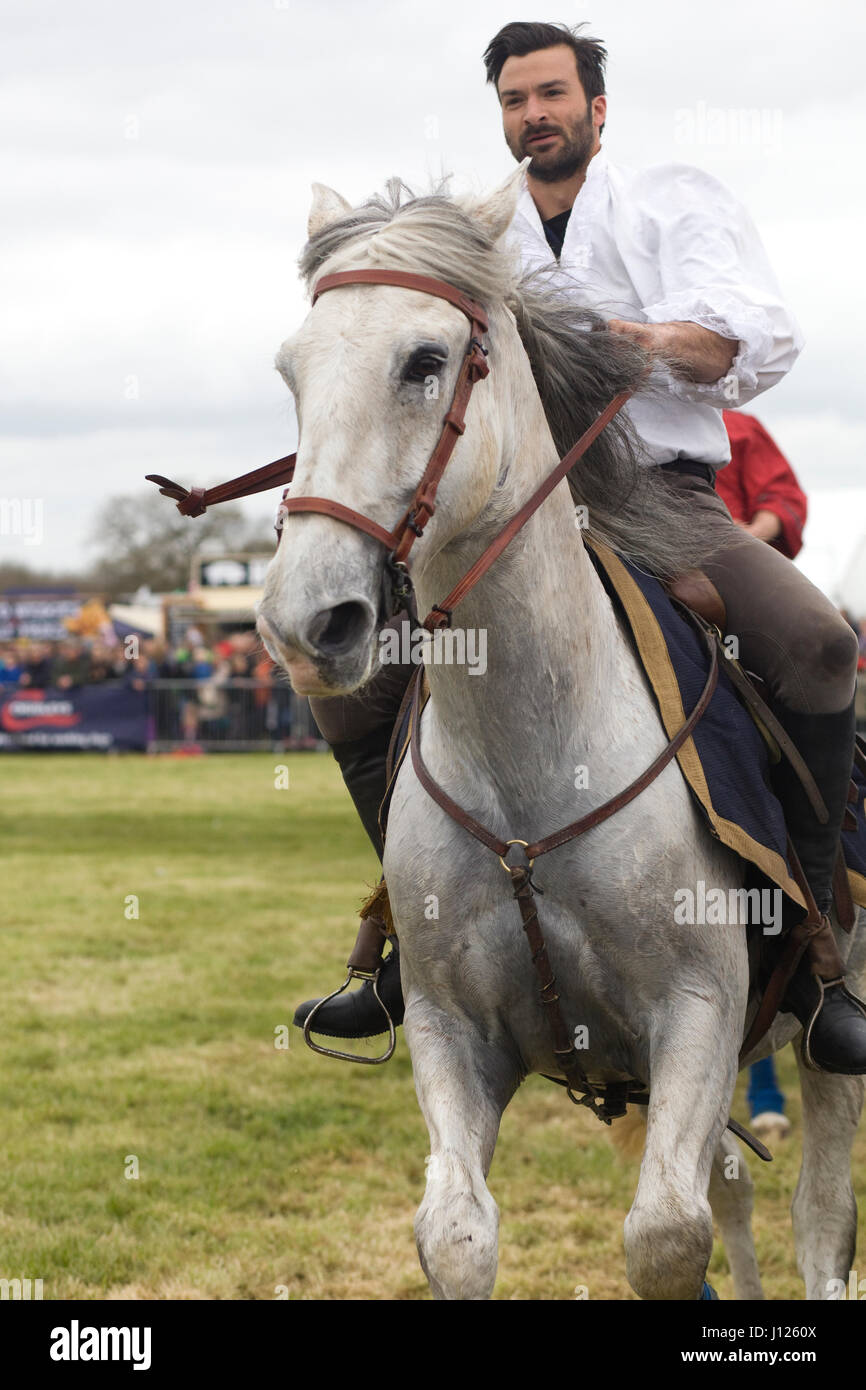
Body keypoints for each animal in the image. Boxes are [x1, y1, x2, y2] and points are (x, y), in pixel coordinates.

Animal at [258, 168, 866, 1295]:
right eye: (293, 371)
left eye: (426, 360)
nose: (305, 622)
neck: (530, 772)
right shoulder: (453, 1033)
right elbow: (457, 1232)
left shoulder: (696, 1014)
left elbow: (665, 1235)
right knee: (735, 1190)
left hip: (826, 1027)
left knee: (818, 1215)